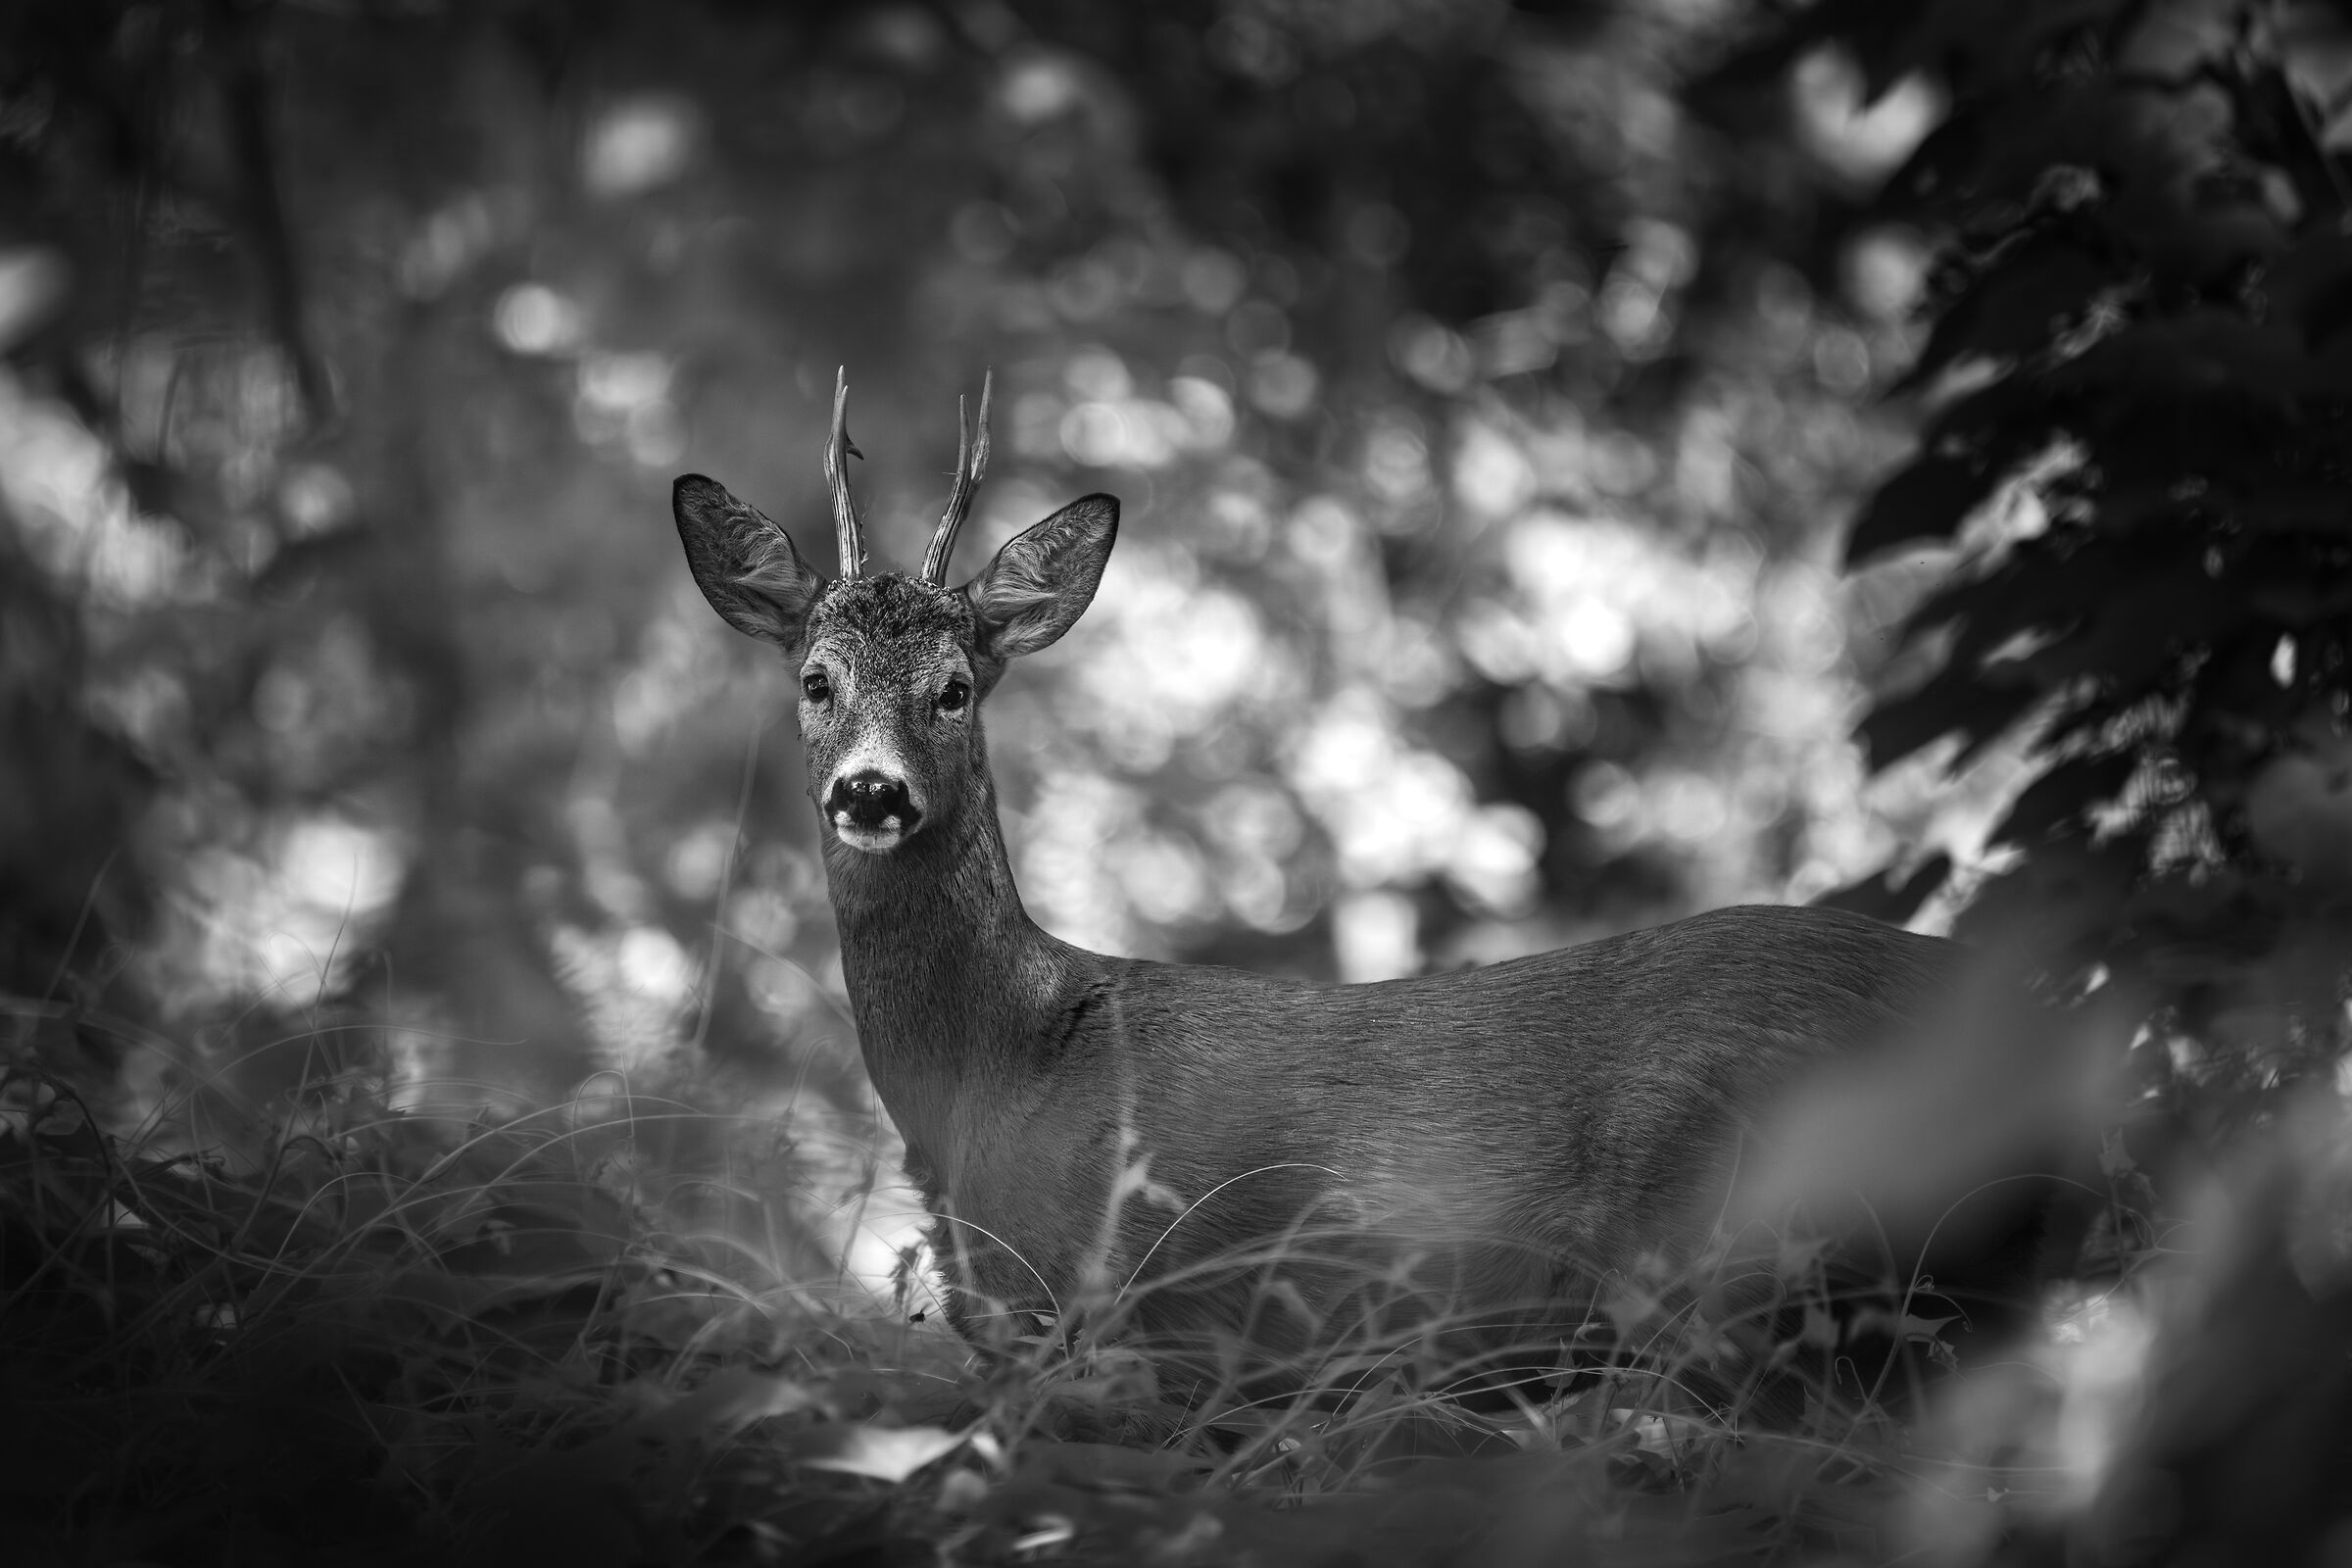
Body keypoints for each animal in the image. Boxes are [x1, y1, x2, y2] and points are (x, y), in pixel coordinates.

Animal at [669, 371, 2034, 1410]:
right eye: (816, 681)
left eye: (954, 688)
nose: (871, 791)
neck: (1002, 1062)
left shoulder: (1119, 1311)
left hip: (1757, 1228)